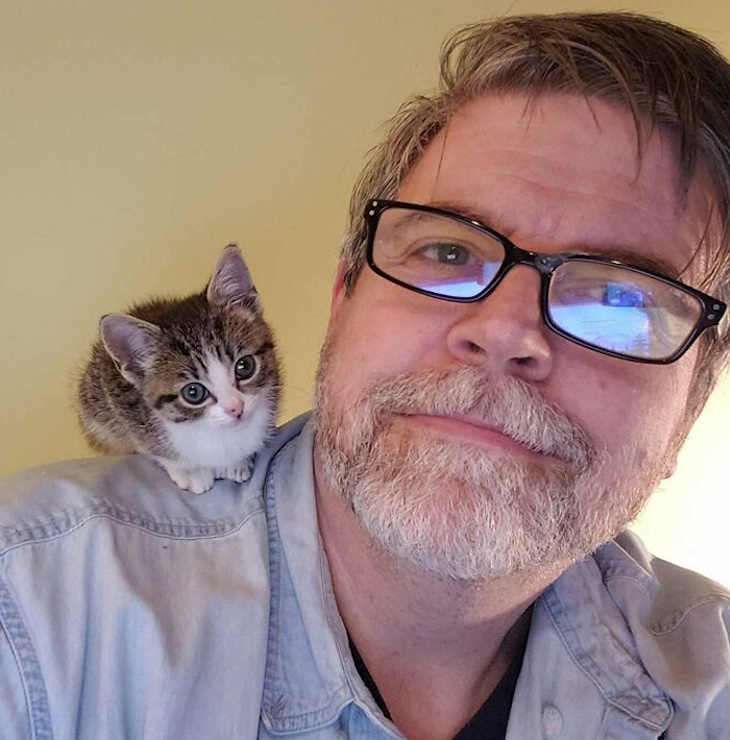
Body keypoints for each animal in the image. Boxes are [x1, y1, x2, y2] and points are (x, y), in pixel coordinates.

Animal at [78, 246, 280, 494]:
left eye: (245, 366)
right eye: (193, 393)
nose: (236, 408)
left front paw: (236, 463)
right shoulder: (124, 409)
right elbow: (157, 450)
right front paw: (191, 473)